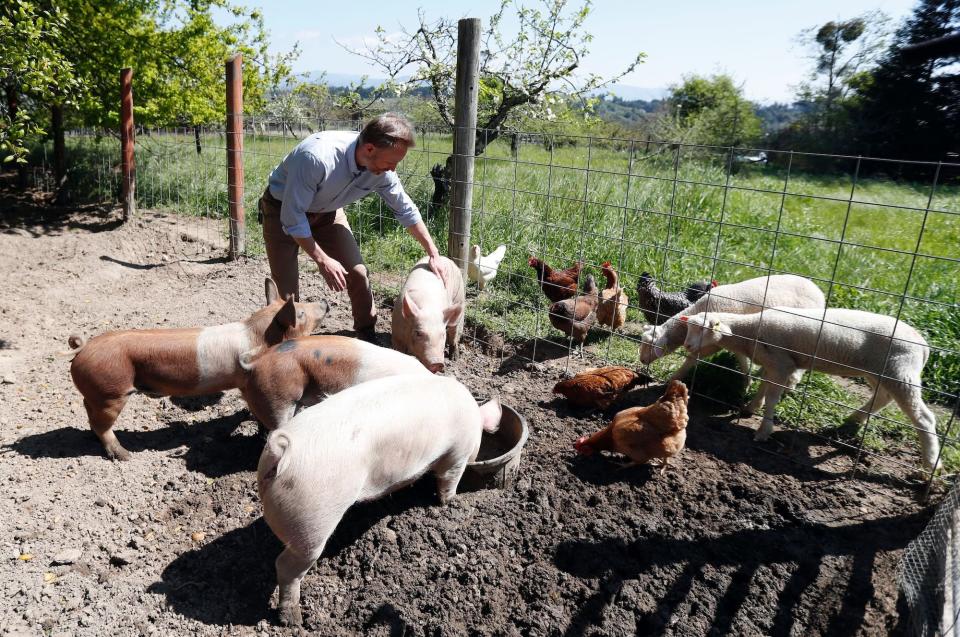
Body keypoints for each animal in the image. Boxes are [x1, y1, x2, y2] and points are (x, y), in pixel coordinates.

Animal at [67, 278, 330, 458]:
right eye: (301, 313)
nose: (326, 302)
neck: (259, 335)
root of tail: (82, 349)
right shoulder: (248, 381)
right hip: (111, 392)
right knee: (102, 425)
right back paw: (124, 455)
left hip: (100, 394)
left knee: (89, 412)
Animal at [255, 372, 502, 628]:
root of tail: (281, 452)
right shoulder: (457, 454)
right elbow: (448, 479)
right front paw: (449, 501)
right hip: (312, 519)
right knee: (286, 566)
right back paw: (293, 619)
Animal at [636, 270, 824, 386]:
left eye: (650, 345)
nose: (642, 361)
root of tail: (819, 291)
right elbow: (739, 358)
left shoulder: (718, 341)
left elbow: (692, 359)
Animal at [684, 306, 944, 470]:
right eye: (689, 329)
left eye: (704, 329)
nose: (686, 346)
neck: (750, 331)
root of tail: (924, 345)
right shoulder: (774, 364)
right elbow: (763, 388)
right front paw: (751, 407)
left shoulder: (781, 363)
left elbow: (772, 396)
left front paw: (763, 430)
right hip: (880, 373)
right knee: (883, 397)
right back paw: (854, 419)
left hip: (900, 371)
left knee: (924, 418)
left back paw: (931, 463)